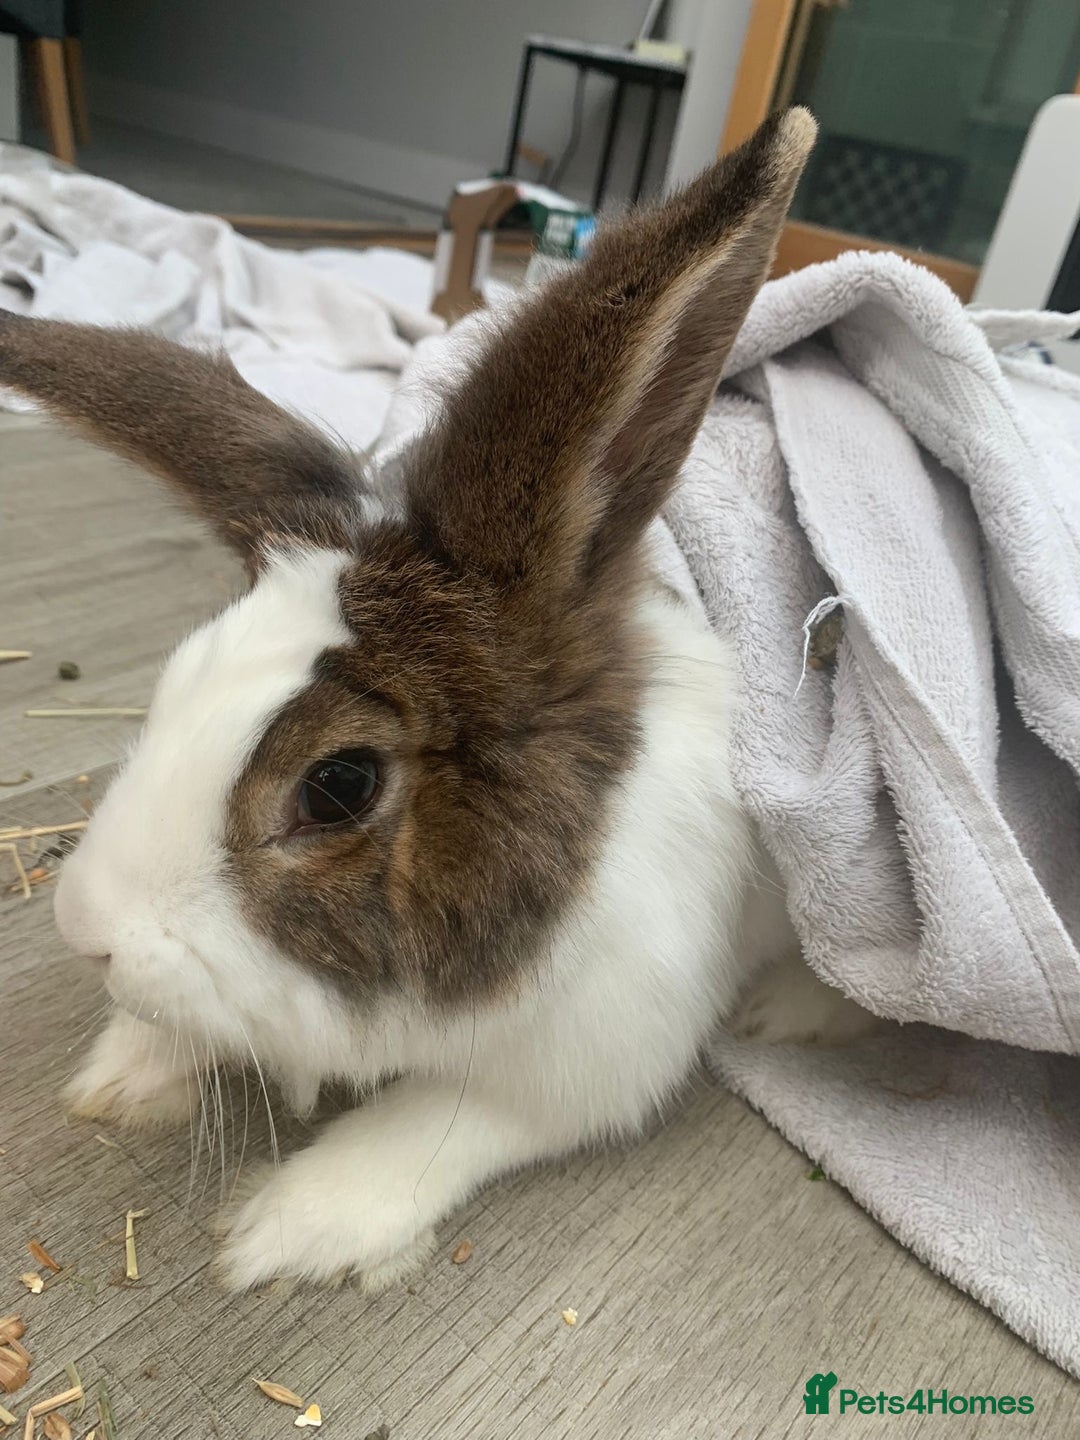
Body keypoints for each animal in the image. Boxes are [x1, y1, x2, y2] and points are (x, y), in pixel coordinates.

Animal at [0, 107, 873, 1292]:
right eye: (176, 679)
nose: (83, 930)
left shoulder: (588, 1059)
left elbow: (438, 1119)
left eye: (338, 784)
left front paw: (289, 1226)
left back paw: (790, 1011)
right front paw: (124, 1073)